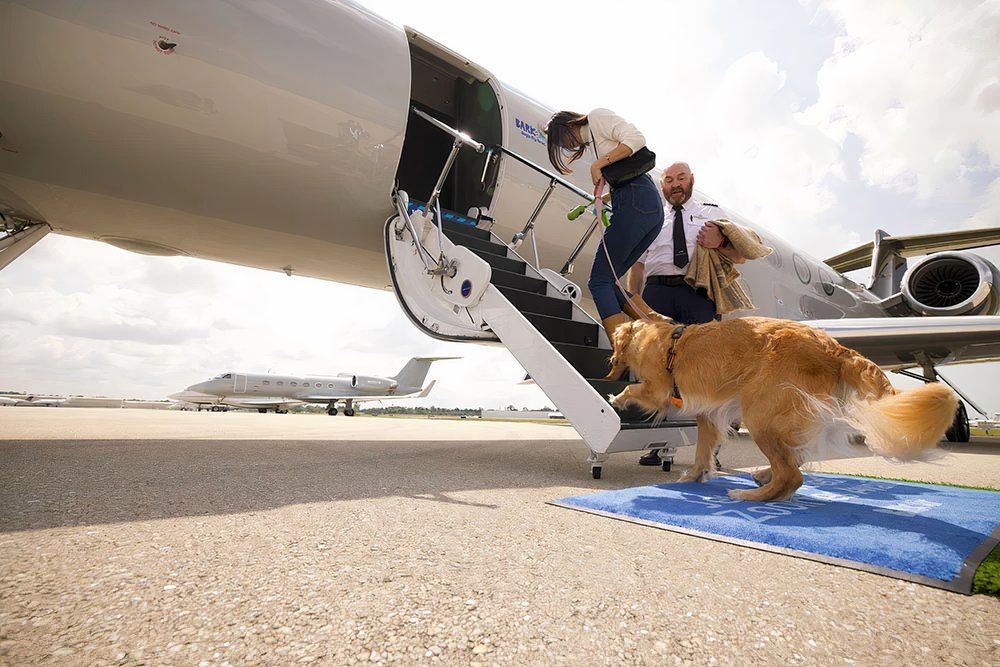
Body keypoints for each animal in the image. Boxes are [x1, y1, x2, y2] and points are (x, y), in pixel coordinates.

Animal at [604, 318, 956, 500]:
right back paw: (762, 476)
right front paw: (695, 474)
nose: (610, 358)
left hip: (761, 414)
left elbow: (634, 389)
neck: (657, 337)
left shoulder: (658, 390)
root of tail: (835, 348)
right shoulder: (708, 413)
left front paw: (617, 399)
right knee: (793, 460)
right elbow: (704, 449)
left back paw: (750, 496)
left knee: (792, 475)